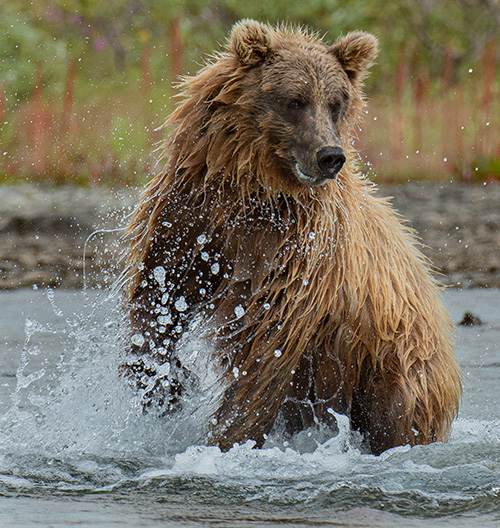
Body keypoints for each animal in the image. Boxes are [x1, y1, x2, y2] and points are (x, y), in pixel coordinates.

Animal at [122, 19, 460, 454]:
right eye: (295, 100)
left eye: (336, 102)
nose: (330, 155)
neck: (254, 191)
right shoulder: (193, 217)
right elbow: (160, 292)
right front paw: (164, 385)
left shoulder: (295, 252)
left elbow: (266, 344)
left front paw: (227, 434)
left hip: (394, 359)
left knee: (398, 415)